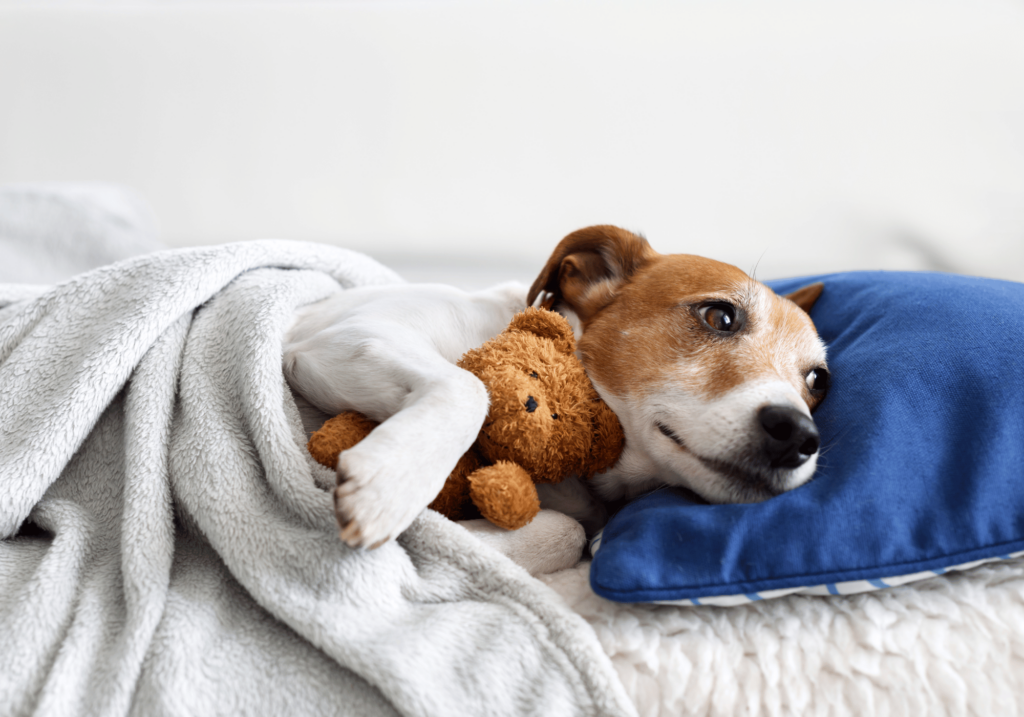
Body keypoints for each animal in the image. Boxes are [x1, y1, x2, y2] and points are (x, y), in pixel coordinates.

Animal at [284, 226, 827, 573]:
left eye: (818, 379)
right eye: (721, 317)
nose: (797, 436)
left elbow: (568, 533)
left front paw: (465, 540)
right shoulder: (345, 338)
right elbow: (468, 387)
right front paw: (389, 488)